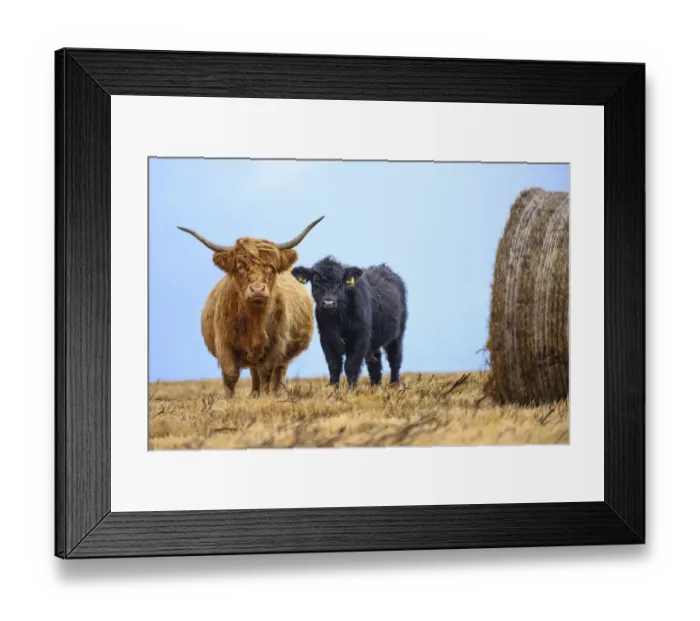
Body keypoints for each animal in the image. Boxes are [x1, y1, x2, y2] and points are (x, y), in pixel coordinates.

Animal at [177, 216, 324, 397]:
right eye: (240, 267)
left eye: (271, 267)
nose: (257, 289)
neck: (255, 321)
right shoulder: (224, 343)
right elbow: (231, 375)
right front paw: (230, 400)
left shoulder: (276, 344)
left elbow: (266, 372)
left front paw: (266, 397)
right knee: (255, 372)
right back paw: (254, 393)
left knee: (277, 373)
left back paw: (273, 393)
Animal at [292, 256, 407, 388]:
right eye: (316, 282)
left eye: (339, 282)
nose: (328, 302)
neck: (339, 319)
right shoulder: (326, 338)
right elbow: (334, 366)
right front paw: (333, 388)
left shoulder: (360, 338)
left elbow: (351, 366)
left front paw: (351, 389)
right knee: (375, 361)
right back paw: (375, 386)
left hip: (397, 335)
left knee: (395, 359)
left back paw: (394, 384)